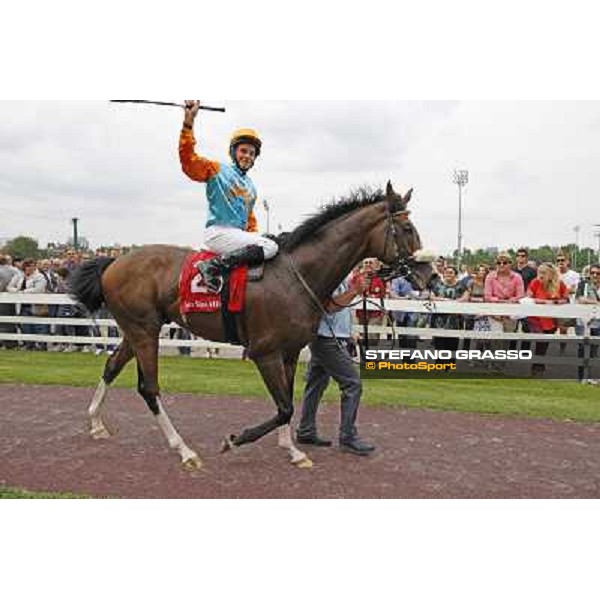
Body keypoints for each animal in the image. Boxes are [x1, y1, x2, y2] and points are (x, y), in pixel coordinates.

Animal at [70, 180, 434, 472]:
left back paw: (96, 423)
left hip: (137, 331)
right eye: (406, 229)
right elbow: (284, 407)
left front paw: (292, 451)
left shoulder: (289, 352)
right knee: (149, 388)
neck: (295, 276)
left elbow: (289, 401)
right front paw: (236, 439)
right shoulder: (264, 352)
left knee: (112, 365)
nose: (429, 274)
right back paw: (184, 450)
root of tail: (114, 261)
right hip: (144, 332)